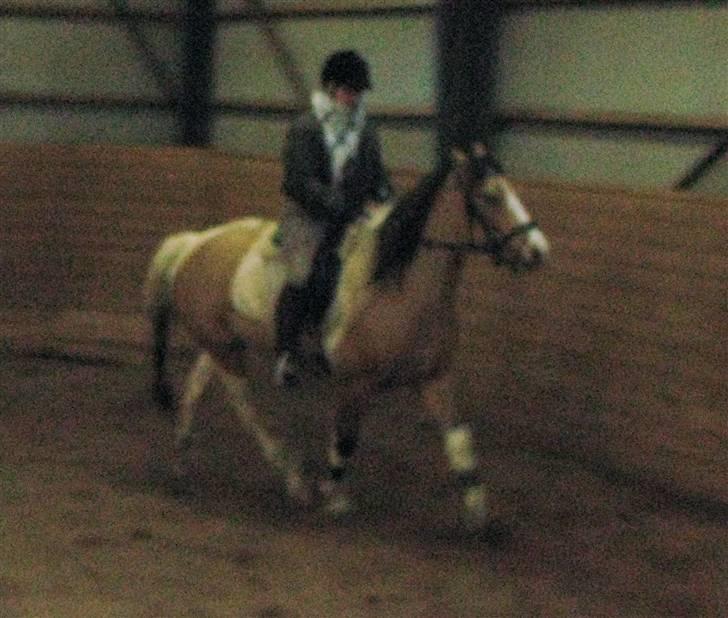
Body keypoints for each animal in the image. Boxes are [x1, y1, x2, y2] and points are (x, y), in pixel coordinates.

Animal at [145, 143, 548, 528]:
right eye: (491, 195)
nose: (537, 251)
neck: (399, 286)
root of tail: (195, 242)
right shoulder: (357, 383)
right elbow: (345, 441)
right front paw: (334, 497)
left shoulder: (435, 378)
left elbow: (459, 440)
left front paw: (478, 514)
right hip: (226, 350)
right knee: (245, 404)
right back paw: (292, 476)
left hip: (221, 342)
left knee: (197, 387)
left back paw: (182, 461)